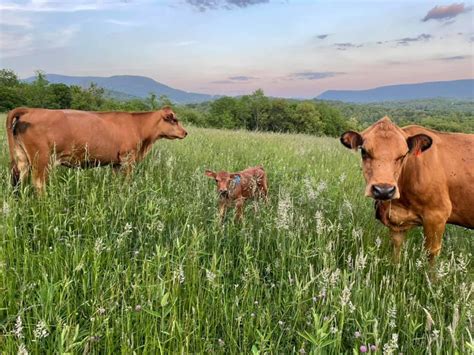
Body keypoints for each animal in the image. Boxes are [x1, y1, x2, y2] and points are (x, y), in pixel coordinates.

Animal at [6, 106, 187, 193]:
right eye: (174, 120)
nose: (185, 132)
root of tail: (31, 110)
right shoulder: (128, 159)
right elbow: (127, 182)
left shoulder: (116, 163)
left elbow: (117, 183)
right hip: (42, 160)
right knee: (38, 183)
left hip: (22, 159)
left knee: (20, 180)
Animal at [340, 118, 474, 266]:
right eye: (364, 151)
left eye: (403, 155)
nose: (383, 190)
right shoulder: (396, 221)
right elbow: (396, 249)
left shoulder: (437, 215)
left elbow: (431, 253)